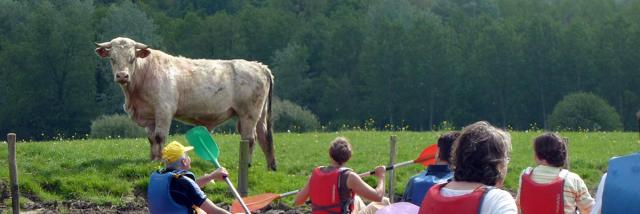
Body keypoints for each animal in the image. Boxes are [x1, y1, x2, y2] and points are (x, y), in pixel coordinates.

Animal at [95, 36, 276, 171]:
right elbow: (151, 139)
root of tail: (258, 65)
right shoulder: (149, 114)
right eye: (112, 59)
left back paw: (247, 164)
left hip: (249, 114)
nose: (122, 76)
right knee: (263, 137)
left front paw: (161, 160)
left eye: (132, 59)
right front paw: (152, 160)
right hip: (259, 114)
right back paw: (269, 167)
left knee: (250, 138)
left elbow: (160, 137)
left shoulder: (164, 110)